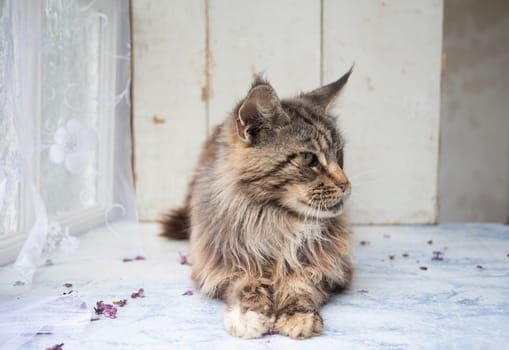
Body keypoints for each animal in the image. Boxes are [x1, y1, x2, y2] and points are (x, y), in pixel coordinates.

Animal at [161, 68, 352, 340]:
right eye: (309, 158)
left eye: (339, 156)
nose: (346, 184)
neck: (275, 221)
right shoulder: (224, 263)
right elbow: (246, 283)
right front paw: (250, 315)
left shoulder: (326, 265)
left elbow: (300, 283)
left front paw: (297, 315)